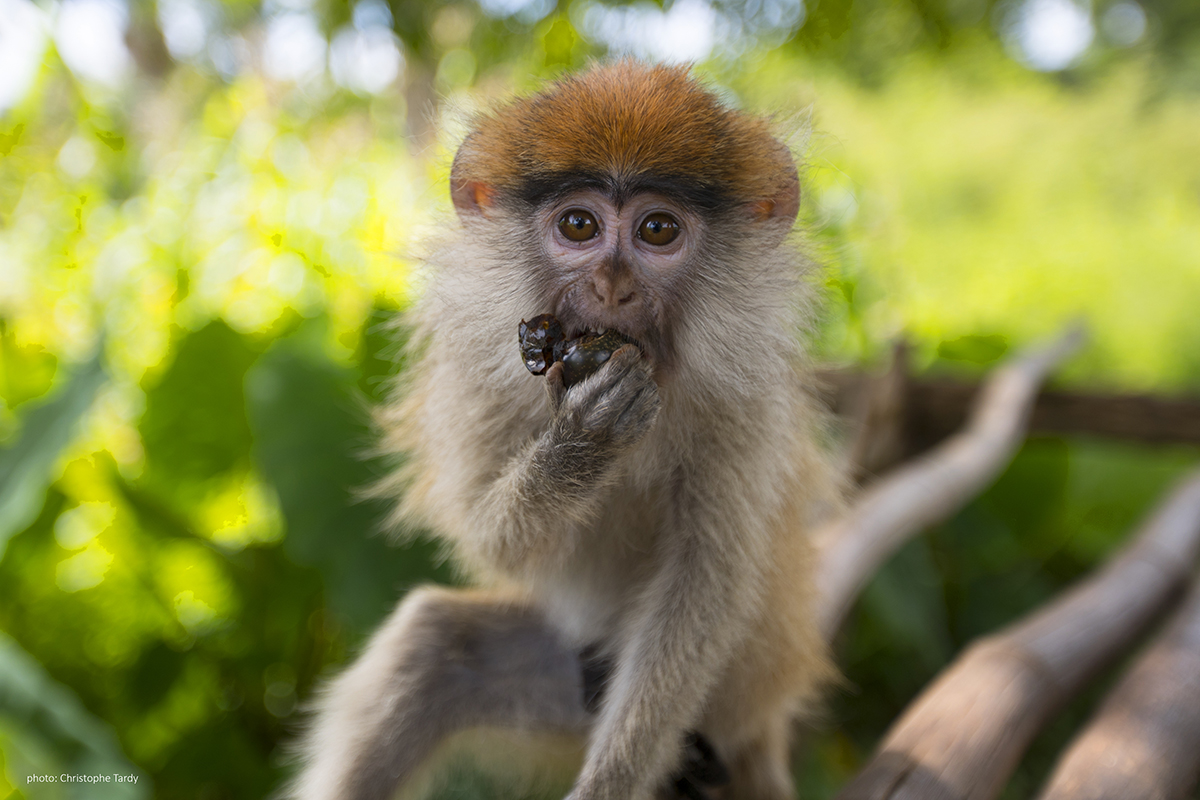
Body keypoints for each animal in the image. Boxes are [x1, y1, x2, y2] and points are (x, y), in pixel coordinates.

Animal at [285, 61, 840, 800]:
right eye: (578, 224)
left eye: (657, 230)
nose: (610, 288)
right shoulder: (473, 365)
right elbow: (489, 544)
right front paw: (580, 447)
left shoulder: (748, 397)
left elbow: (703, 585)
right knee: (432, 645)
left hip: (734, 698)